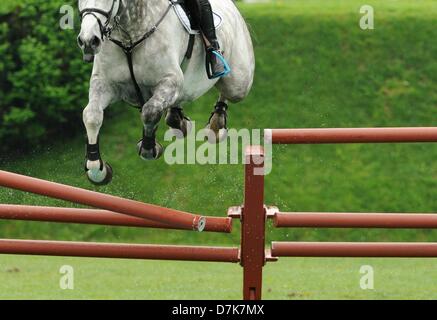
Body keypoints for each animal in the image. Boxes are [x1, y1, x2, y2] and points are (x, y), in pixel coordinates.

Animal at [78, 0, 254, 185]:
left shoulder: (170, 80)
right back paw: (178, 118)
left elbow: (149, 111)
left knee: (229, 91)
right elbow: (91, 116)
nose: (88, 41)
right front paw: (96, 169)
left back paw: (216, 122)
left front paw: (148, 149)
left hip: (238, 83)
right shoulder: (103, 84)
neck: (129, 36)